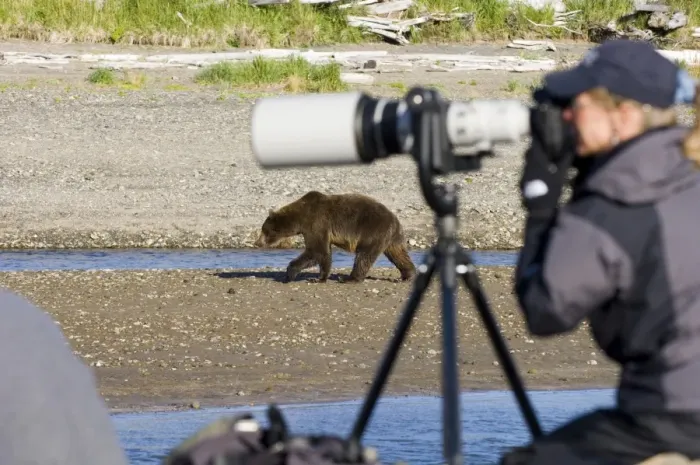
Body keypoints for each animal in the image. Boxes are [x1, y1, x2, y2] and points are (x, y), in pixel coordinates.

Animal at [254, 191, 416, 283]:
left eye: (263, 230)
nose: (257, 243)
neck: (300, 219)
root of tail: (395, 220)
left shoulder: (316, 223)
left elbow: (316, 251)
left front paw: (290, 274)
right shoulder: (319, 229)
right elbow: (324, 254)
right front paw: (320, 277)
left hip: (372, 231)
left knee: (364, 256)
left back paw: (350, 278)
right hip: (391, 238)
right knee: (398, 254)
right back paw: (407, 275)